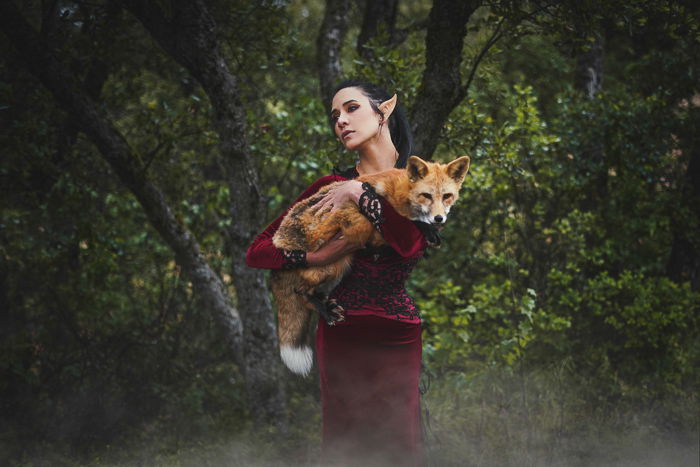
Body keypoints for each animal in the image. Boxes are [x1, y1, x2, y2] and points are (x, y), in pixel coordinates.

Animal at [270, 156, 468, 376]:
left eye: (447, 196)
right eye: (426, 195)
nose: (439, 218)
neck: (400, 195)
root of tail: (279, 243)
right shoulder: (374, 208)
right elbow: (407, 222)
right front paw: (425, 228)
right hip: (341, 248)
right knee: (301, 291)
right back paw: (325, 309)